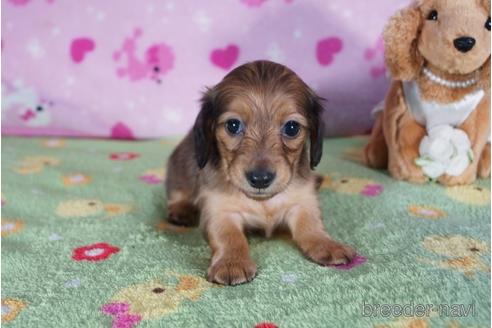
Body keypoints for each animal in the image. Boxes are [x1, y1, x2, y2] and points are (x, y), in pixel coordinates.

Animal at [167, 60, 356, 286]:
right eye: (233, 125)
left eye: (292, 128)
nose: (260, 179)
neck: (263, 202)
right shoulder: (220, 211)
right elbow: (230, 237)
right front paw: (232, 262)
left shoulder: (303, 202)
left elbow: (311, 226)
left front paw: (328, 245)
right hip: (180, 170)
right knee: (178, 194)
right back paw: (182, 210)